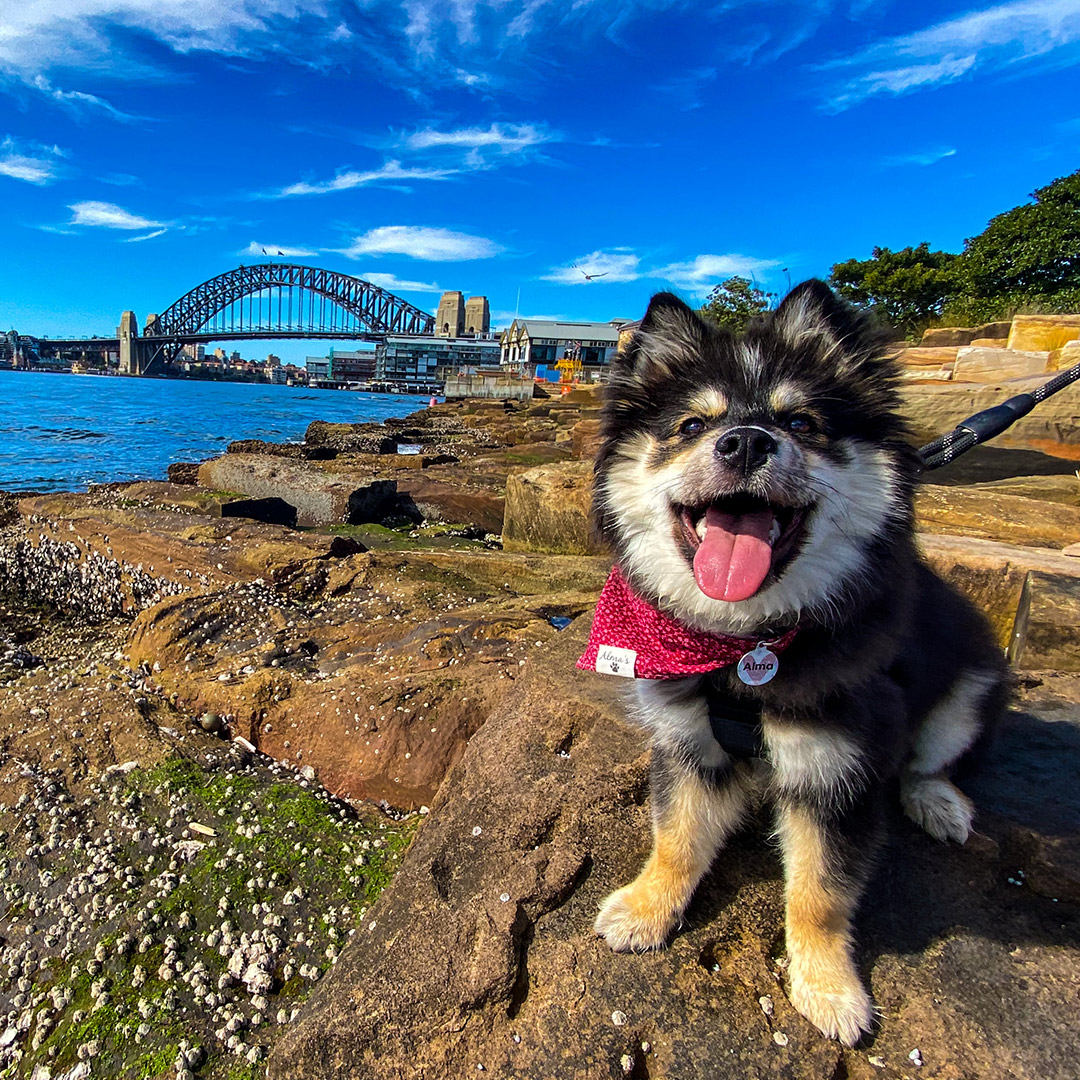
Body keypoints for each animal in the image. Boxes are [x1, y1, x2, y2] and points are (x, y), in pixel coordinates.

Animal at [587, 282, 1006, 1041]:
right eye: (691, 424)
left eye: (802, 422)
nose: (747, 439)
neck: (745, 644)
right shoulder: (688, 742)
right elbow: (677, 837)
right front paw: (646, 907)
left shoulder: (841, 767)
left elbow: (820, 891)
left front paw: (829, 988)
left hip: (974, 682)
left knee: (932, 760)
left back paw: (935, 801)